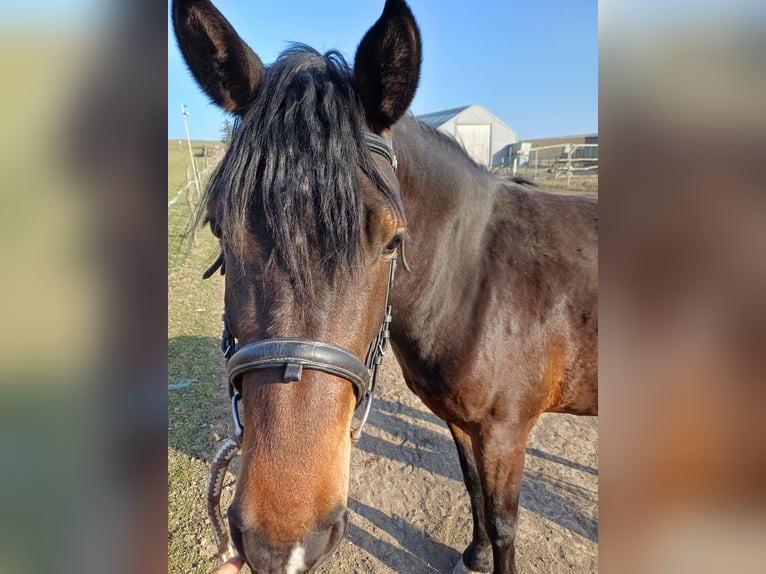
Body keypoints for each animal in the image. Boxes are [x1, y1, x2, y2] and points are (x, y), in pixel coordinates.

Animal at [173, 1, 598, 572]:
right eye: (219, 227)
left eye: (394, 240)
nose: (281, 541)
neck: (477, 282)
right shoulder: (463, 424)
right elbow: (472, 489)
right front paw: (473, 555)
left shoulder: (505, 434)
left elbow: (505, 523)